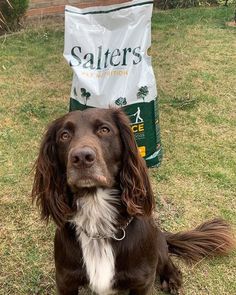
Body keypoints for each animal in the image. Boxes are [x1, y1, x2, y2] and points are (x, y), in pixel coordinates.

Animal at [31, 108, 234, 295]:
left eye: (104, 130)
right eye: (64, 135)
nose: (81, 157)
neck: (98, 218)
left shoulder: (141, 281)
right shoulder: (65, 280)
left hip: (157, 244)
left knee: (165, 257)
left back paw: (171, 277)